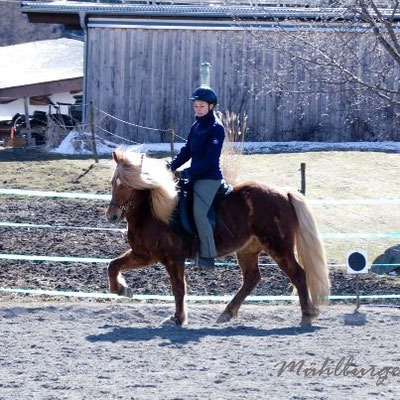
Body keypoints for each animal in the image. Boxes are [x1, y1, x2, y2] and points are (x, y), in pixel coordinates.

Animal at [104, 148, 330, 326]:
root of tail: (284, 194)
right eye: (113, 183)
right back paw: (227, 313)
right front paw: (121, 290)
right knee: (252, 278)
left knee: (298, 275)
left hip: (279, 247)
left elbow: (178, 288)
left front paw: (178, 318)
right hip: (248, 249)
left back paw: (307, 315)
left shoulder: (173, 258)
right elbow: (113, 265)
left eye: (128, 185)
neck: (153, 211)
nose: (112, 216)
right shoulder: (144, 255)